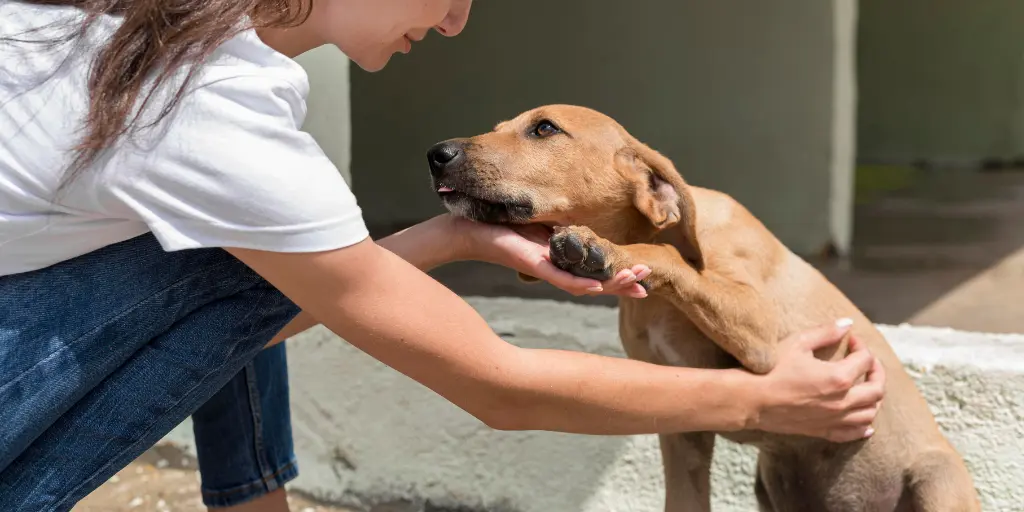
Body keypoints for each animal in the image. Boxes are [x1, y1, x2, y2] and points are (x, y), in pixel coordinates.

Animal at [425, 104, 983, 512]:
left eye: (544, 128)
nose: (436, 153)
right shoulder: (681, 426)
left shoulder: (764, 336)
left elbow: (669, 258)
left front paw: (601, 250)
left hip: (935, 480)